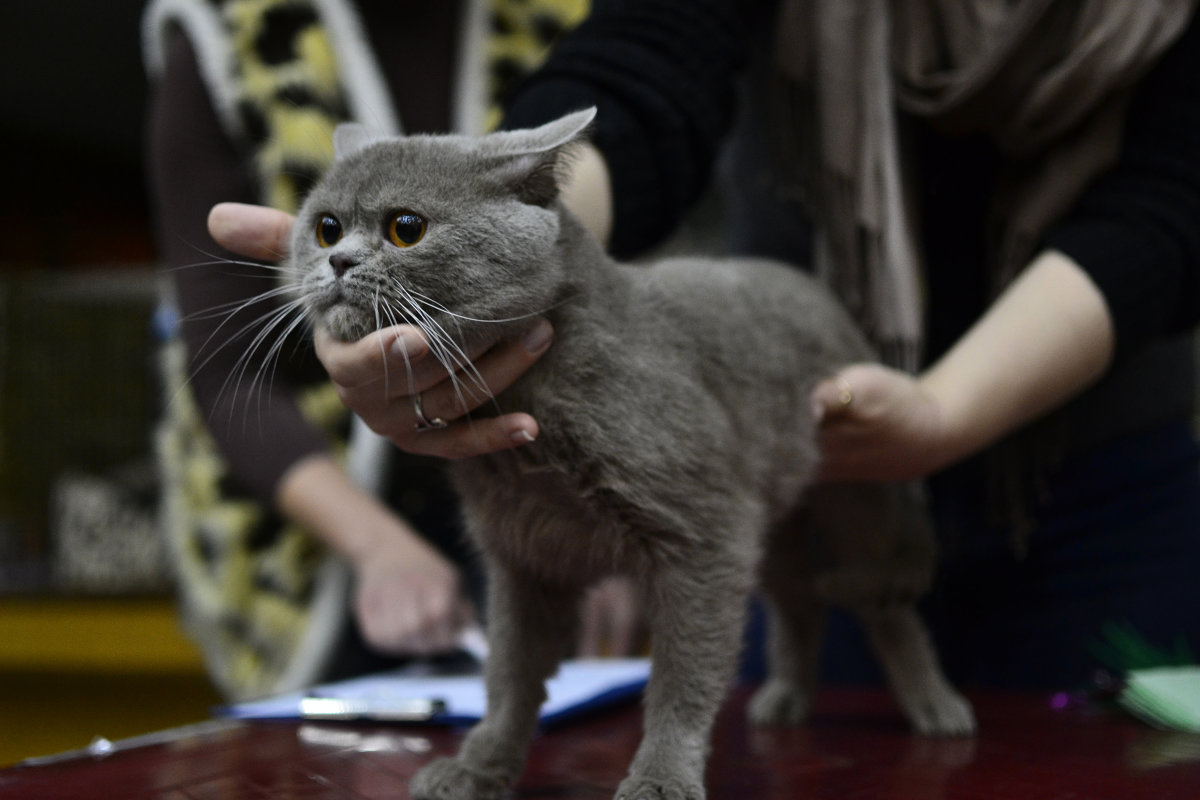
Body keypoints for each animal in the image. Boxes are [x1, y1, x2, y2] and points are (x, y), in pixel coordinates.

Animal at [290, 107, 974, 800]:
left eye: (406, 228)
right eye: (326, 227)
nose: (339, 260)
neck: (528, 422)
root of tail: (828, 300)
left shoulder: (707, 536)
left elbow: (681, 676)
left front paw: (661, 778)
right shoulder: (523, 554)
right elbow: (509, 672)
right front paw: (476, 768)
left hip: (856, 499)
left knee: (885, 606)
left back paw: (936, 708)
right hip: (776, 522)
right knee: (800, 601)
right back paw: (785, 698)